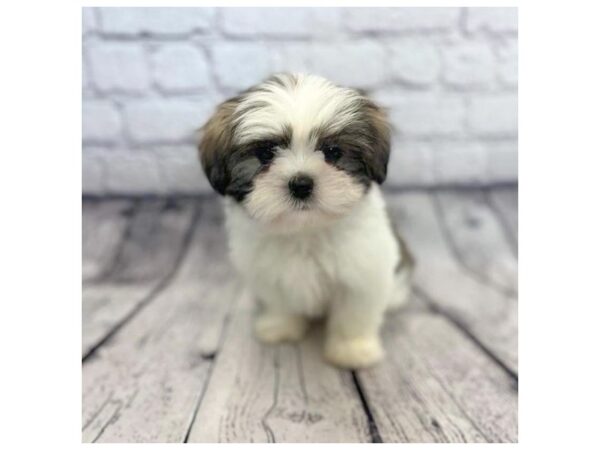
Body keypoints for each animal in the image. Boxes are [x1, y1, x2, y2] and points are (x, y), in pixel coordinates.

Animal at [197, 74, 412, 370]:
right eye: (266, 154)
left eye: (332, 152)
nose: (300, 184)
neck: (304, 231)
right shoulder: (268, 273)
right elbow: (280, 302)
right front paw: (281, 327)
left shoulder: (363, 273)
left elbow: (353, 314)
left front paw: (352, 349)